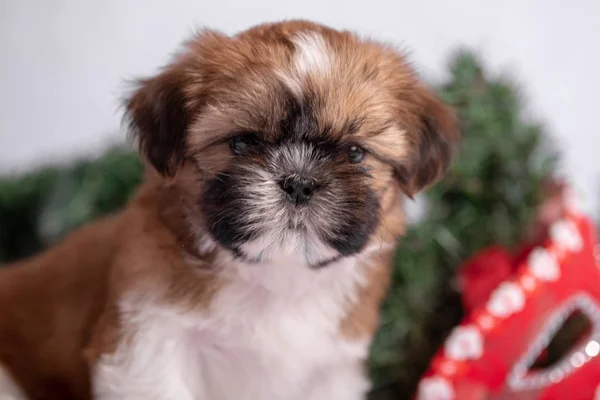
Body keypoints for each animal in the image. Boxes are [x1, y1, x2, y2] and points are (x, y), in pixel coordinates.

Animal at [0, 19, 460, 400]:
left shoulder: (330, 370)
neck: (278, 273)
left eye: (354, 153)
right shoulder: (146, 348)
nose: (299, 182)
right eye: (242, 142)